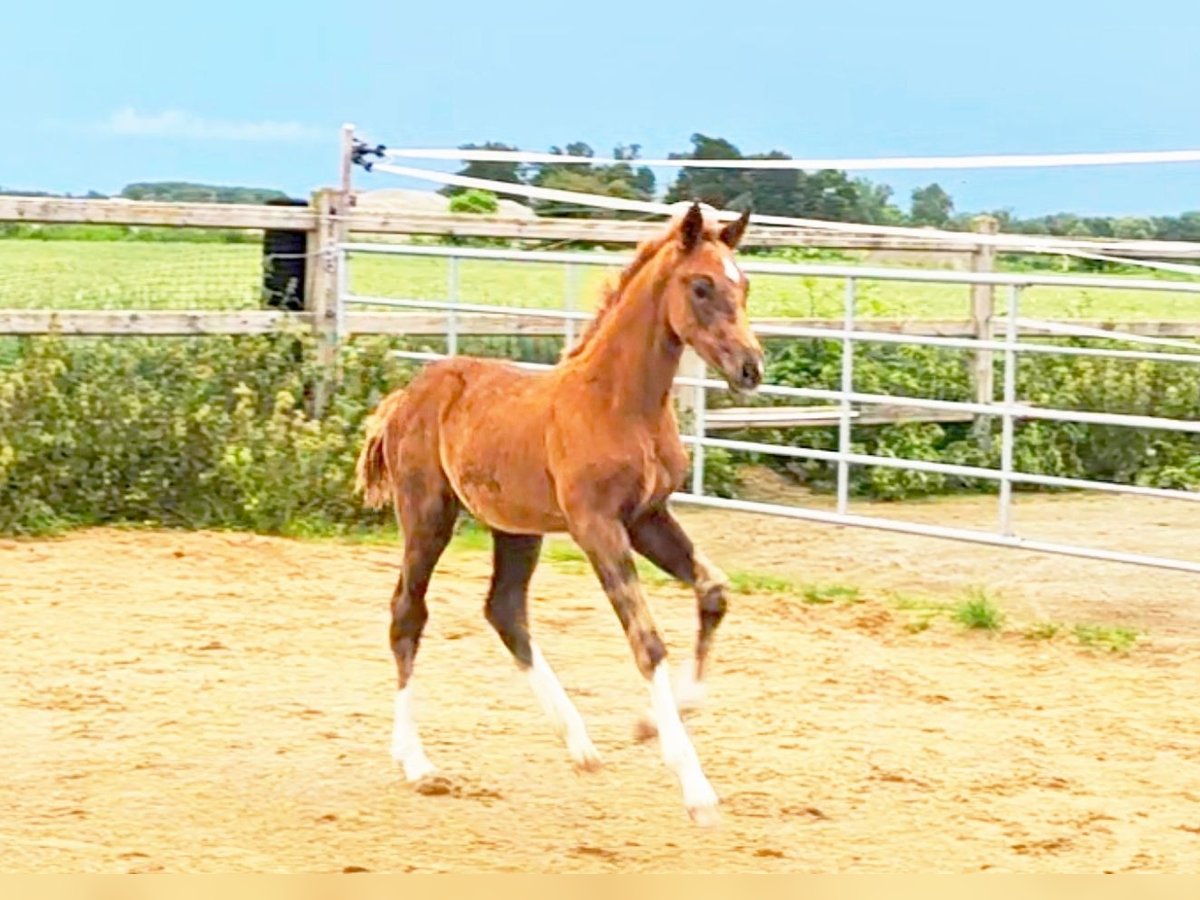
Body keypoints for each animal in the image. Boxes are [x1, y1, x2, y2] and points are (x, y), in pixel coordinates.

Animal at [352, 200, 758, 830]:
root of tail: (407, 393)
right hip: (427, 515)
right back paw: (416, 762)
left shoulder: (647, 518)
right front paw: (696, 789)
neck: (619, 403)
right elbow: (647, 641)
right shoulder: (598, 527)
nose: (749, 367)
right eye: (701, 286)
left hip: (516, 529)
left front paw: (651, 725)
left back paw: (580, 744)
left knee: (504, 610)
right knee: (408, 613)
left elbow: (714, 592)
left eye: (746, 285)